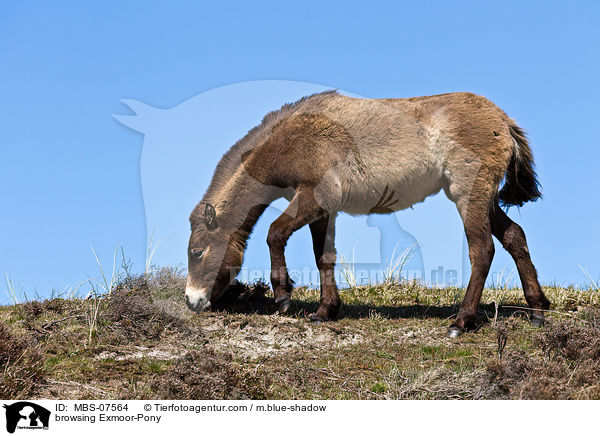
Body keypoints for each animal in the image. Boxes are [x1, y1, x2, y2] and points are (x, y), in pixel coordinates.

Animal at [184, 91, 548, 338]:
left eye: (197, 252)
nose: (192, 301)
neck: (291, 135)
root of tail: (504, 122)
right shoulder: (323, 209)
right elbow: (323, 256)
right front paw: (325, 311)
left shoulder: (312, 197)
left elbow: (275, 232)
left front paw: (284, 296)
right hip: (486, 201)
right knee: (515, 237)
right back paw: (537, 310)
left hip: (468, 196)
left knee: (482, 250)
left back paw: (461, 322)